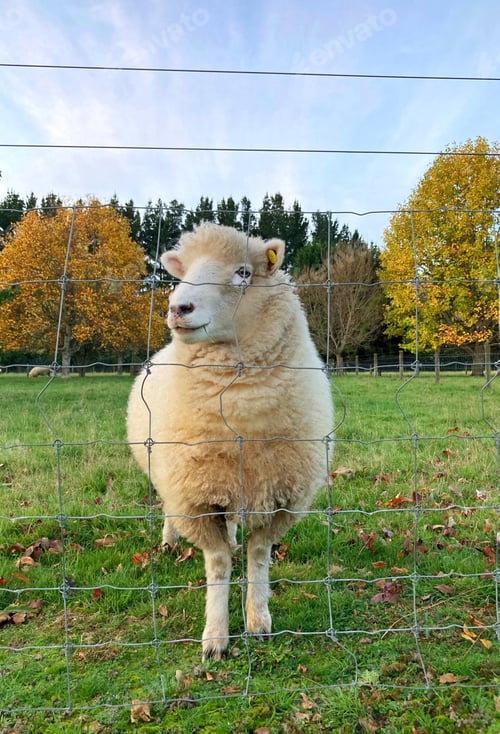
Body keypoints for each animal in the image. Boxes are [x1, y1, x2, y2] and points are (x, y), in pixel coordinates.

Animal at [127, 222, 333, 661]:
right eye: (183, 270)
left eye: (243, 272)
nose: (179, 307)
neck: (239, 407)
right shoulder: (195, 498)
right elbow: (219, 563)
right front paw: (215, 638)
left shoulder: (281, 497)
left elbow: (258, 556)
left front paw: (259, 621)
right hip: (172, 478)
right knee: (170, 511)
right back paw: (169, 542)